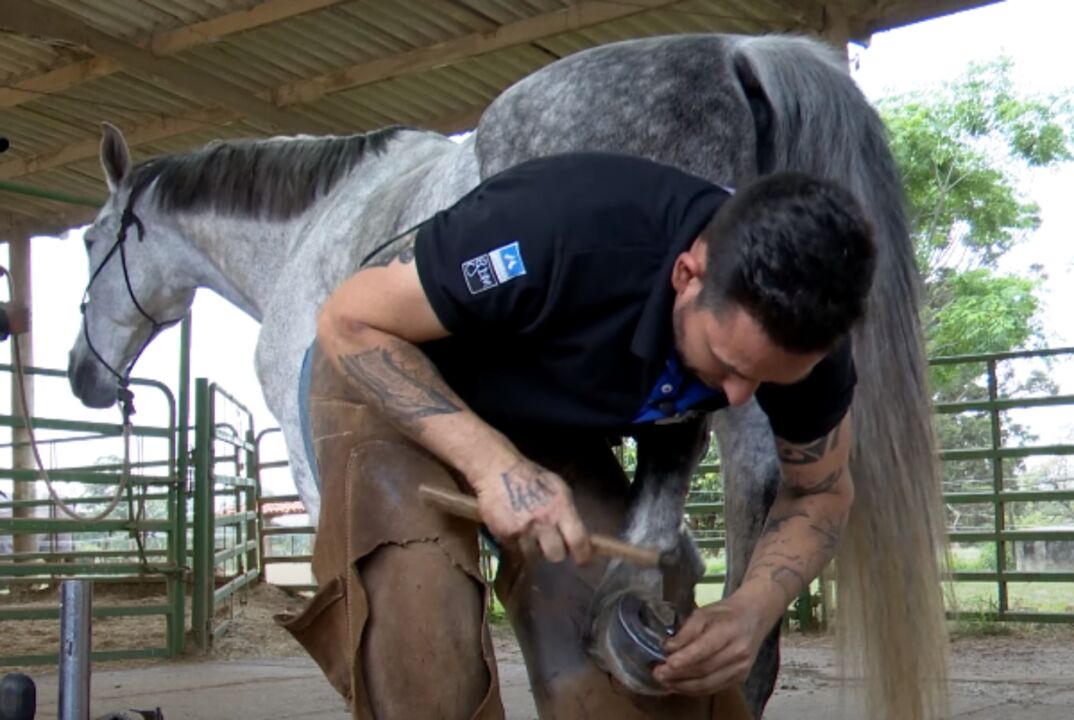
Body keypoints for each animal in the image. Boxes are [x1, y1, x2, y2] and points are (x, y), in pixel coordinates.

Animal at [67, 33, 949, 720]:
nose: (83, 377)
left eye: (87, 240)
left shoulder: (312, 459)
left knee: (742, 472)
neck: (313, 225)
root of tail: (742, 50)